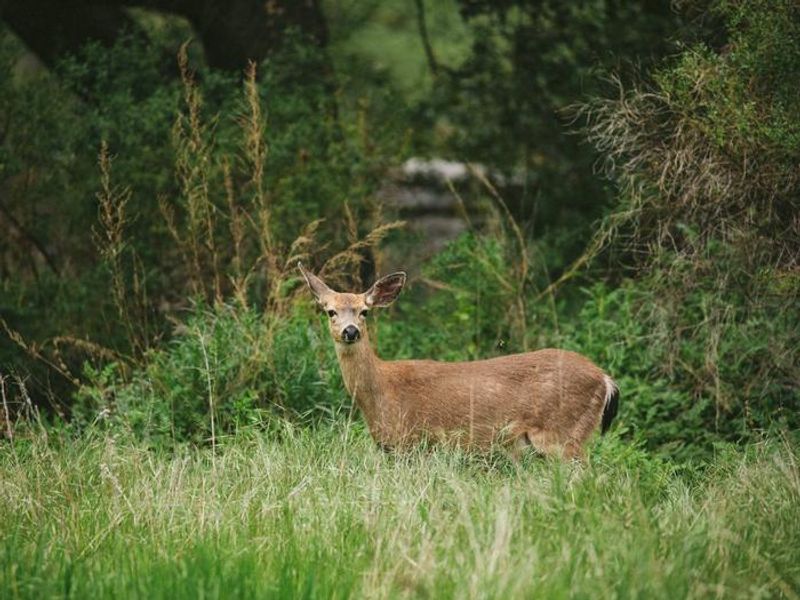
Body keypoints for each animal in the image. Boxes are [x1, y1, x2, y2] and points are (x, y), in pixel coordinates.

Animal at [298, 263, 619, 459]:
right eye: (330, 311)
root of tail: (605, 379)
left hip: (562, 434)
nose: (350, 331)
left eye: (364, 311)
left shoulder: (414, 441)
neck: (381, 391)